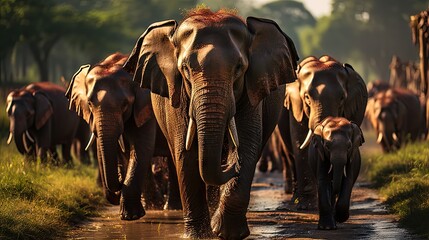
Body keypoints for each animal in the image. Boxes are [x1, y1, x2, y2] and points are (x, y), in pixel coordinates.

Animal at [66, 53, 181, 221]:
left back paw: (171, 208)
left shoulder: (145, 107)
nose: (119, 183)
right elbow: (127, 152)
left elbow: (140, 148)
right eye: (89, 104)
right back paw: (157, 206)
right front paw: (137, 212)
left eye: (125, 104)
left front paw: (130, 216)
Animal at [122, 7, 300, 240]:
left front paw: (226, 233)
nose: (230, 165)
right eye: (185, 69)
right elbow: (186, 153)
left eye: (239, 68)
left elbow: (247, 146)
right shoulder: (178, 95)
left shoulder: (252, 91)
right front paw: (199, 236)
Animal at [280, 55, 366, 210]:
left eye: (342, 98)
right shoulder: (296, 108)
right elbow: (300, 143)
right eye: (307, 97)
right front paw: (306, 207)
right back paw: (296, 199)